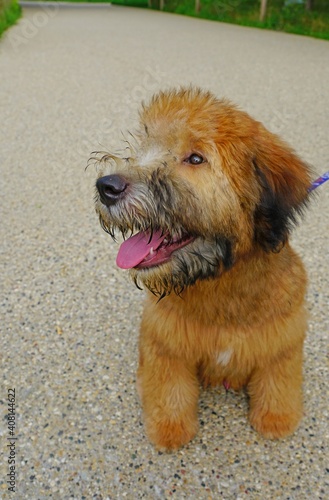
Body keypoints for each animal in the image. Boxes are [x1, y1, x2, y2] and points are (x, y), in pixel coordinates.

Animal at [93, 86, 310, 450]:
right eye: (145, 143)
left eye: (195, 158)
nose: (106, 187)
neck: (222, 282)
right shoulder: (165, 342)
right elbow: (169, 388)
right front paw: (169, 428)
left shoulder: (282, 340)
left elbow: (278, 379)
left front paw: (276, 418)